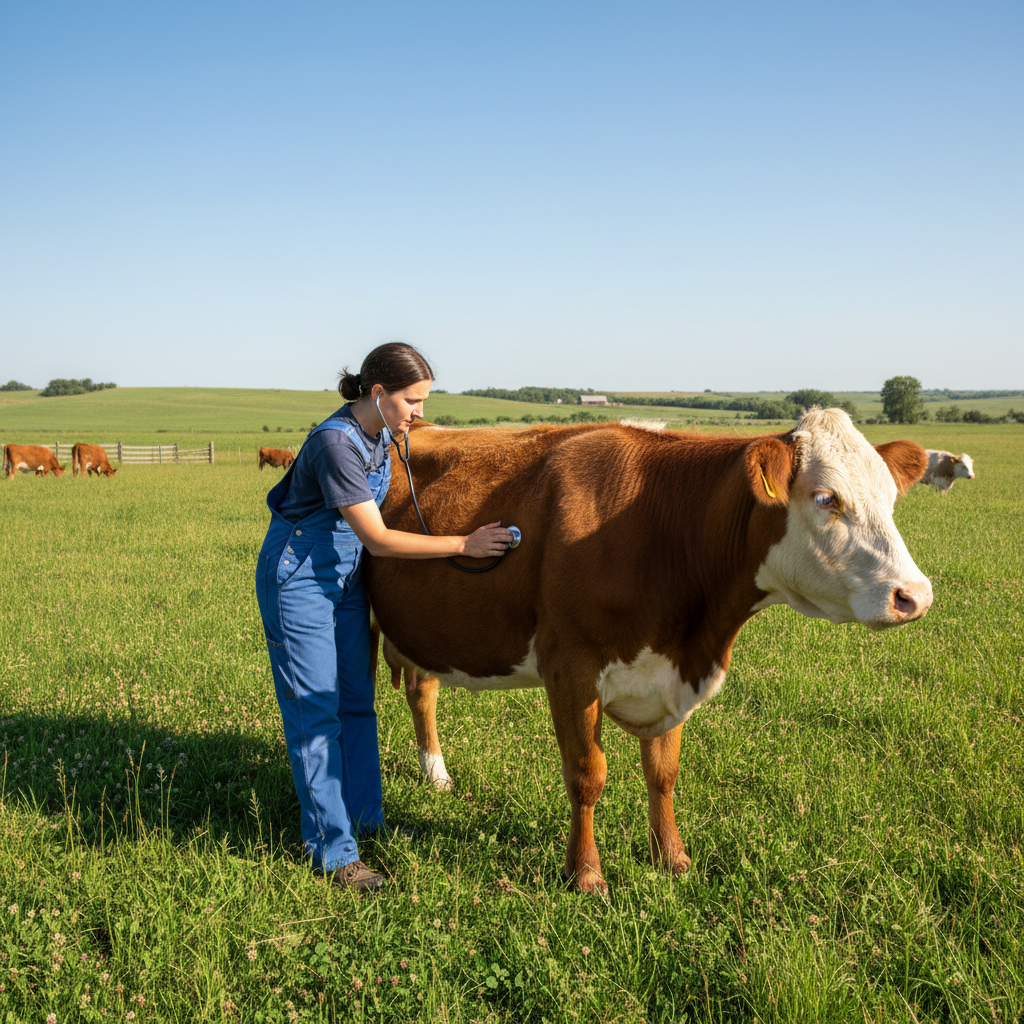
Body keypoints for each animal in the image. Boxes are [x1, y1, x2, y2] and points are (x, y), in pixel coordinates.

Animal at [365, 408, 932, 893]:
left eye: (891, 497)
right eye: (826, 498)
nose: (916, 596)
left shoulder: (669, 671)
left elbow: (663, 773)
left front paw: (672, 859)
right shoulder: (570, 668)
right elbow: (587, 775)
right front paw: (585, 875)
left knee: (422, 690)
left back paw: (436, 774)